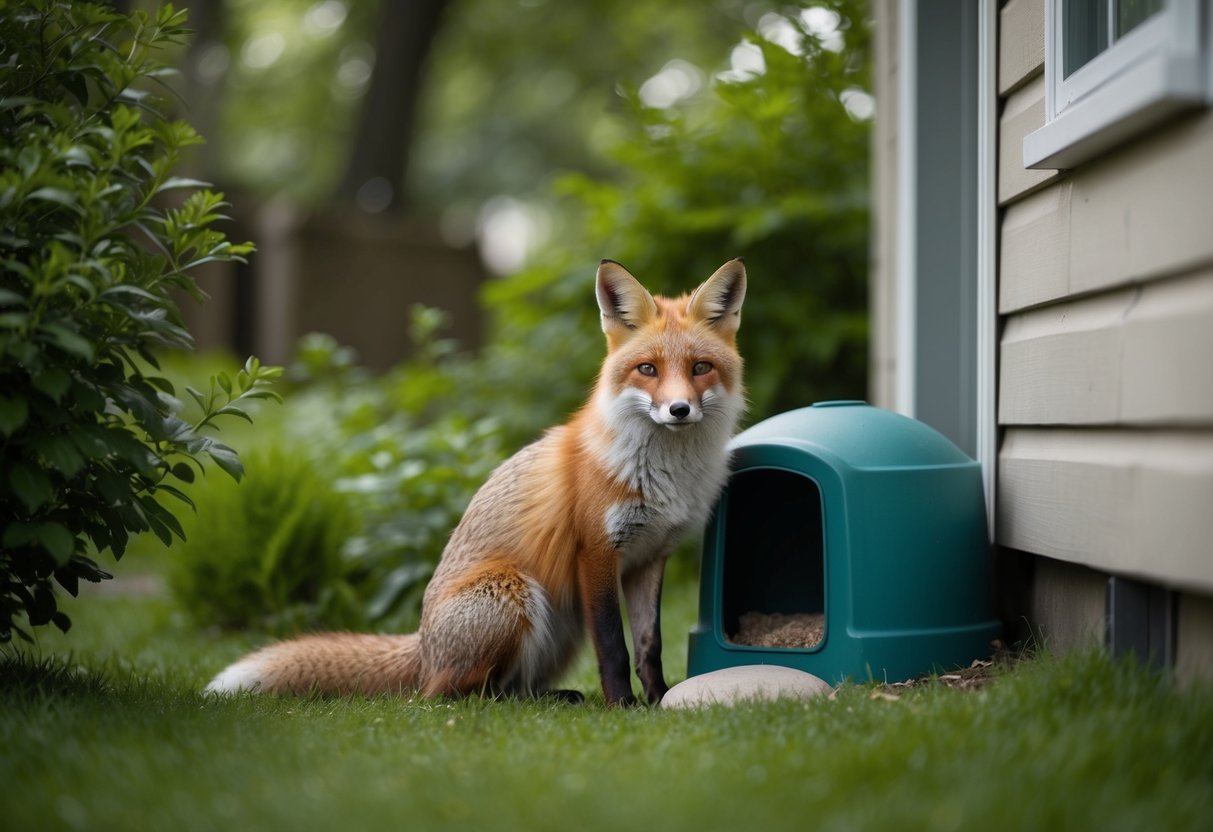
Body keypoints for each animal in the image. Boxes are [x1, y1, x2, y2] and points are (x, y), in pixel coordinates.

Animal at [205, 258, 747, 706]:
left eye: (700, 368)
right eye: (647, 369)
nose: (679, 410)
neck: (664, 475)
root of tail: (423, 647)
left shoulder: (649, 558)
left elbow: (650, 645)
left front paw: (658, 701)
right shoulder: (595, 553)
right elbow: (614, 647)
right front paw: (623, 707)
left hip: (562, 626)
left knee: (504, 685)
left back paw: (555, 697)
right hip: (515, 593)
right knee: (453, 695)